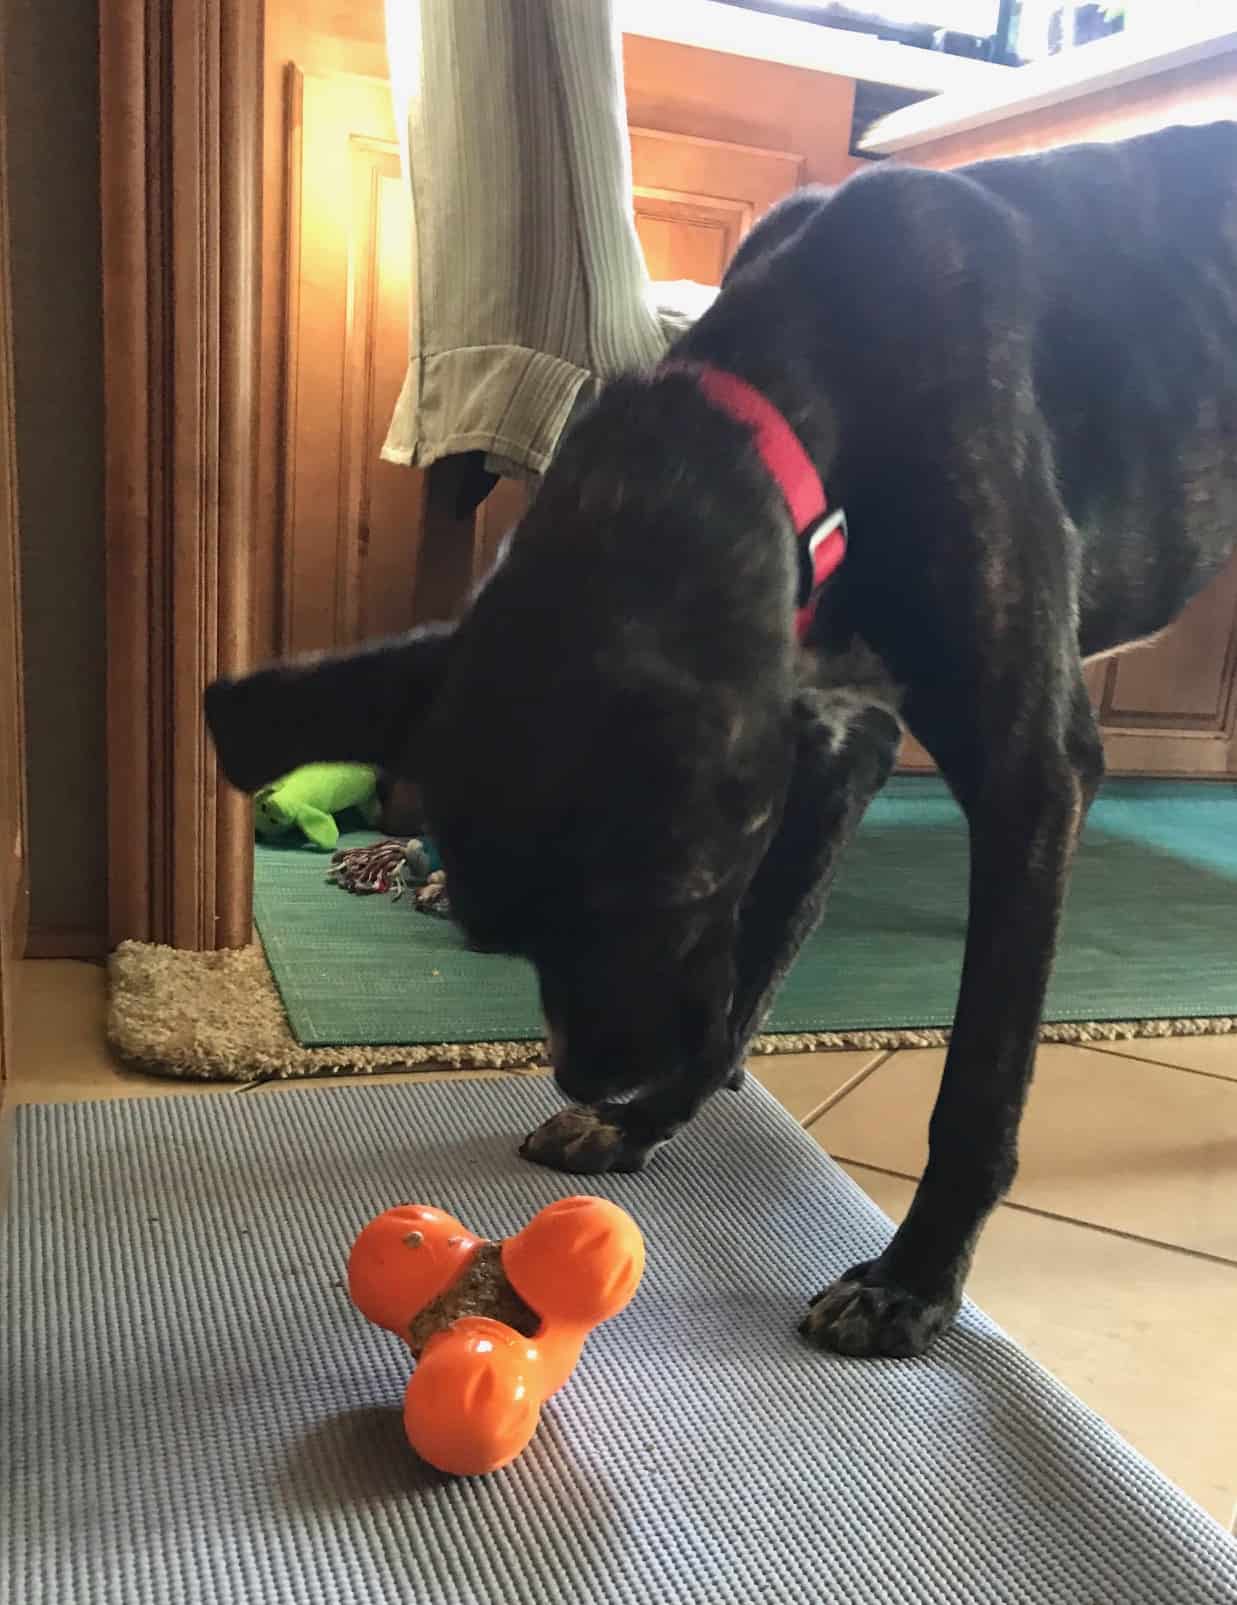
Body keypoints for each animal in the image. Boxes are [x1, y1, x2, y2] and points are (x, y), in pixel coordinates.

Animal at [205, 118, 1237, 1361]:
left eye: (665, 895)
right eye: (489, 936)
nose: (593, 1071)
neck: (809, 390)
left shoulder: (1029, 777)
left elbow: (978, 1075)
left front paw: (914, 1279)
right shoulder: (837, 748)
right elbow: (759, 958)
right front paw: (646, 1123)